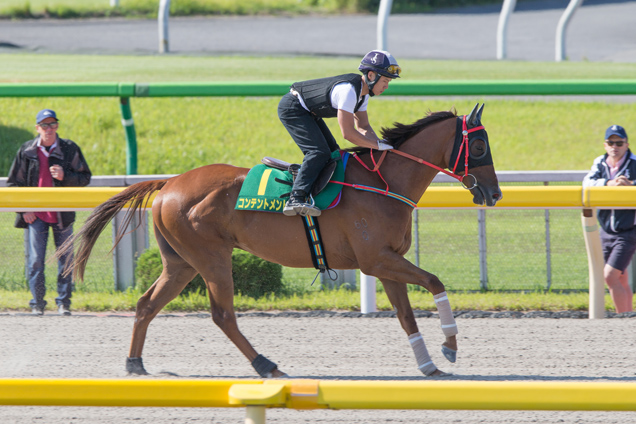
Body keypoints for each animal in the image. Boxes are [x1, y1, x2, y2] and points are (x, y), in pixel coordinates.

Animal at [59, 102, 502, 378]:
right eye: (480, 144)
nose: (494, 193)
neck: (384, 183)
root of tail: (169, 183)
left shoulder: (386, 262)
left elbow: (407, 315)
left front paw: (429, 364)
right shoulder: (376, 259)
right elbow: (435, 282)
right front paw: (450, 345)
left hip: (180, 263)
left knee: (147, 304)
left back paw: (135, 363)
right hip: (212, 257)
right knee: (222, 315)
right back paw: (265, 365)